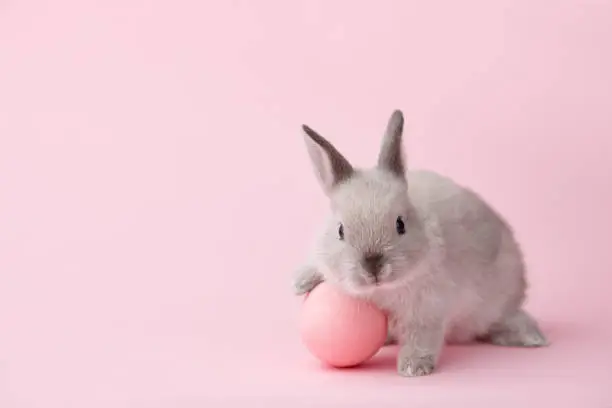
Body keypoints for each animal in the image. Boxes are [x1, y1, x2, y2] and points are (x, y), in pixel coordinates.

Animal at [292, 110, 548, 378]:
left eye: (400, 224)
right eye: (340, 230)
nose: (373, 267)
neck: (380, 291)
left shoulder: (428, 311)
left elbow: (422, 338)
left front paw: (413, 367)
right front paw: (300, 282)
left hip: (500, 303)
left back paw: (531, 337)